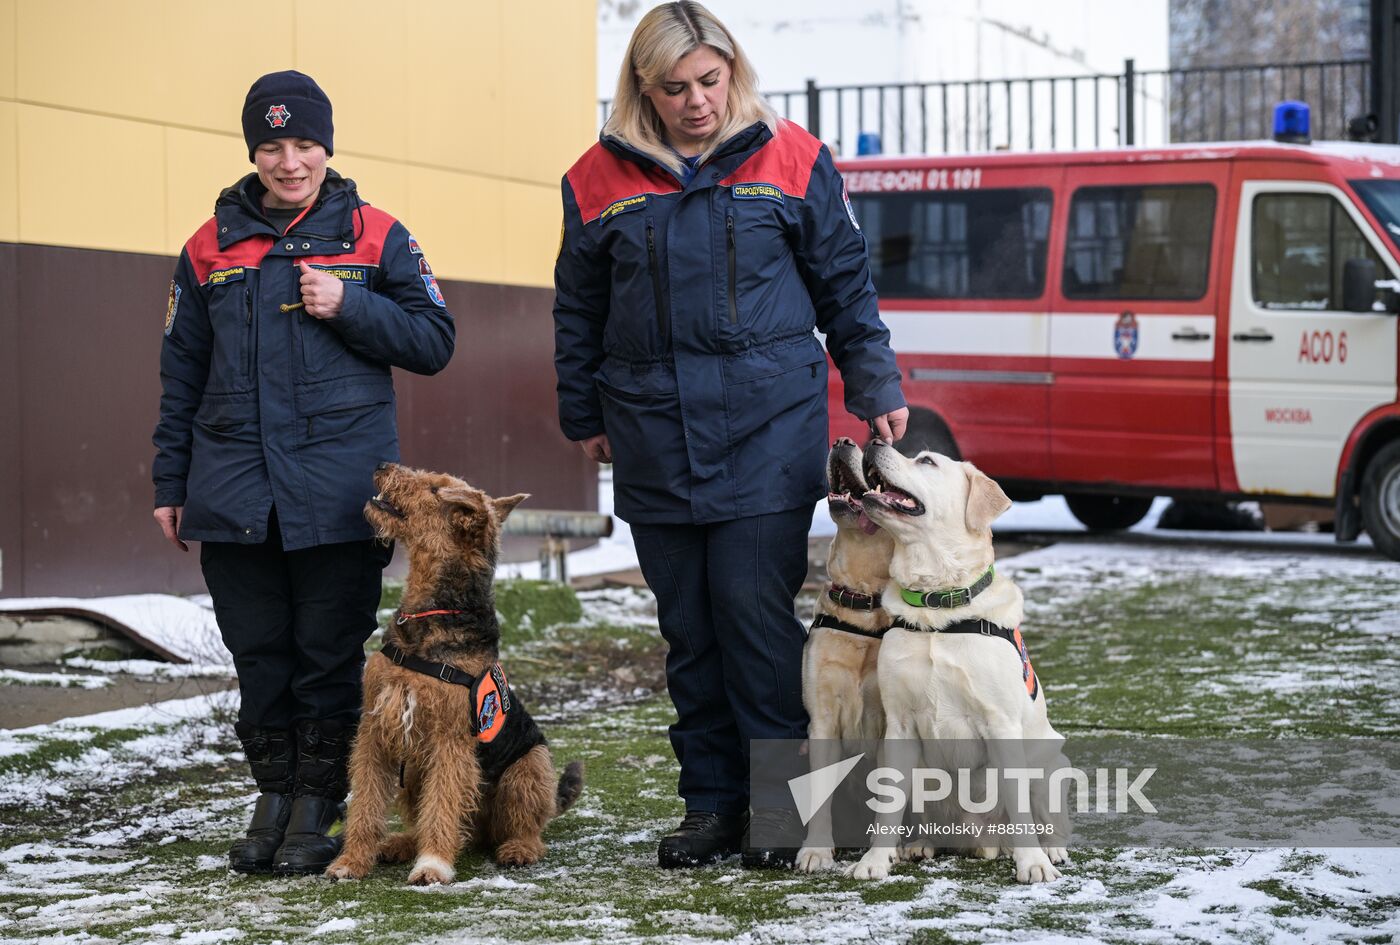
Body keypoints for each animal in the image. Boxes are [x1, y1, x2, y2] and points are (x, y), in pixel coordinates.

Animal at [327, 464, 585, 884]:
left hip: (527, 768)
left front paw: (432, 865)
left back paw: (516, 849)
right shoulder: (375, 730)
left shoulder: (450, 742)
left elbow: (442, 805)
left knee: (524, 828)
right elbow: (364, 803)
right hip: (414, 772)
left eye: (435, 488)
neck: (430, 614)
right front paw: (350, 861)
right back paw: (401, 843)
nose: (381, 466)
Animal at [845, 439, 1064, 884]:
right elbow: (886, 810)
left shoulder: (1001, 723)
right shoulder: (899, 725)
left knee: (1040, 811)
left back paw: (1050, 850)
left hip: (1050, 759)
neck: (936, 605)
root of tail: (978, 841)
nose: (875, 441)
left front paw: (1032, 864)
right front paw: (875, 860)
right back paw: (917, 845)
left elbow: (1021, 808)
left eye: (927, 461)